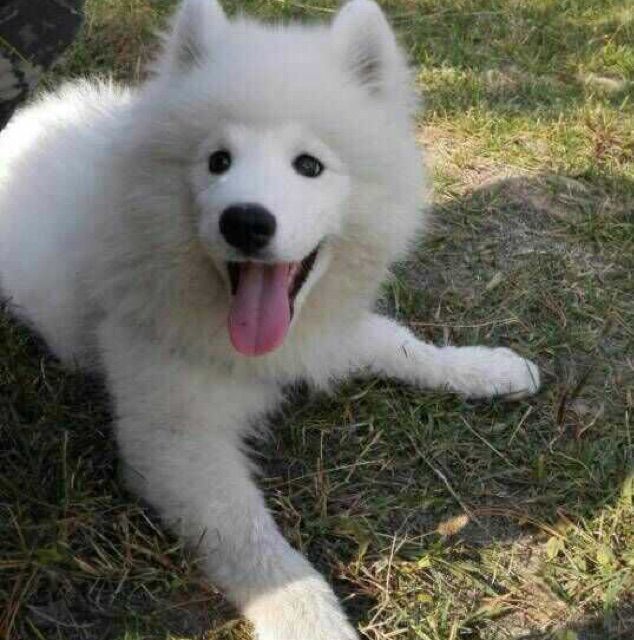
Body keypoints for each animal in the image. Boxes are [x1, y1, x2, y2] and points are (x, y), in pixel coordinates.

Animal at [0, 1, 540, 637]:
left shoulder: (324, 334)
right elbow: (258, 546)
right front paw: (314, 622)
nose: (246, 221)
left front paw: (488, 369)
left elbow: (401, 343)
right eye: (218, 161)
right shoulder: (174, 435)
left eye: (308, 164)